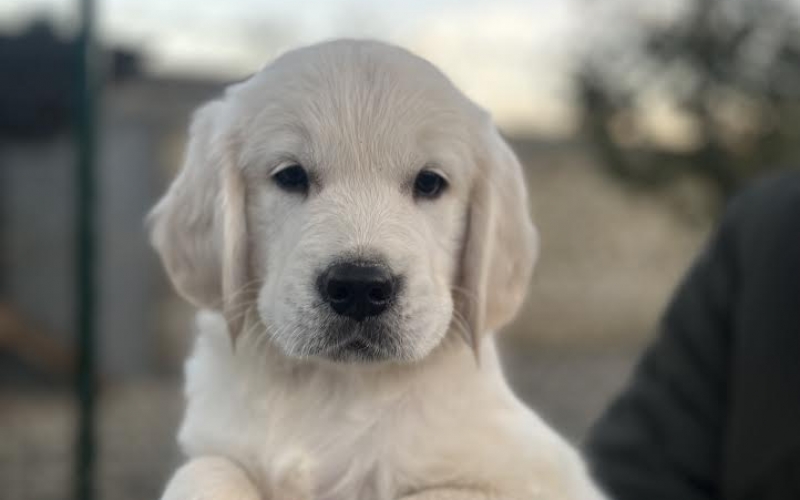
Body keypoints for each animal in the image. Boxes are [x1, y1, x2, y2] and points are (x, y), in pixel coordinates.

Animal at [148, 40, 608, 500]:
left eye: (430, 182)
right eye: (290, 175)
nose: (358, 287)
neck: (339, 387)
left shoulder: (534, 475)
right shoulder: (215, 445)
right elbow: (205, 470)